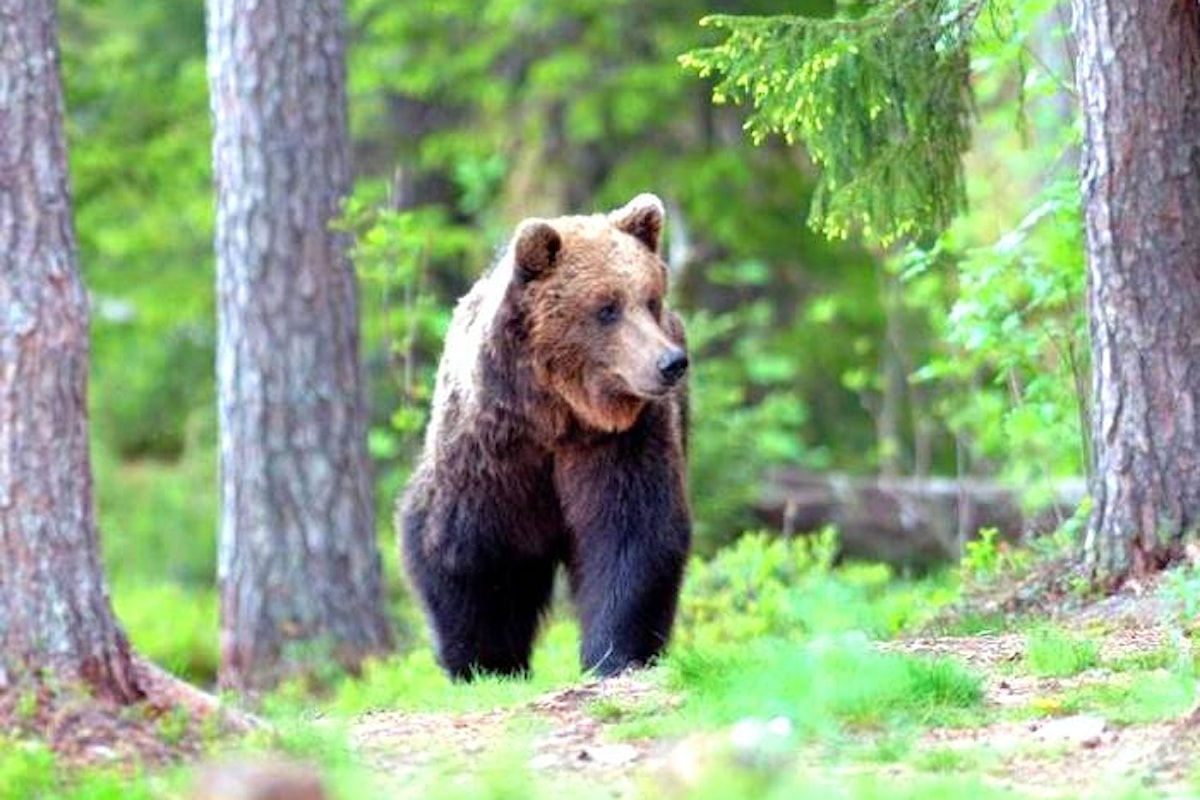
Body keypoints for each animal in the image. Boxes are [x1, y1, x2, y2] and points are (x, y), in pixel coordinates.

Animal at [398, 194, 691, 681]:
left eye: (650, 300)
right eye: (607, 307)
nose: (670, 362)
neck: (556, 416)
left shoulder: (620, 442)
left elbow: (631, 533)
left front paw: (615, 653)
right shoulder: (489, 451)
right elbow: (463, 550)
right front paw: (484, 660)